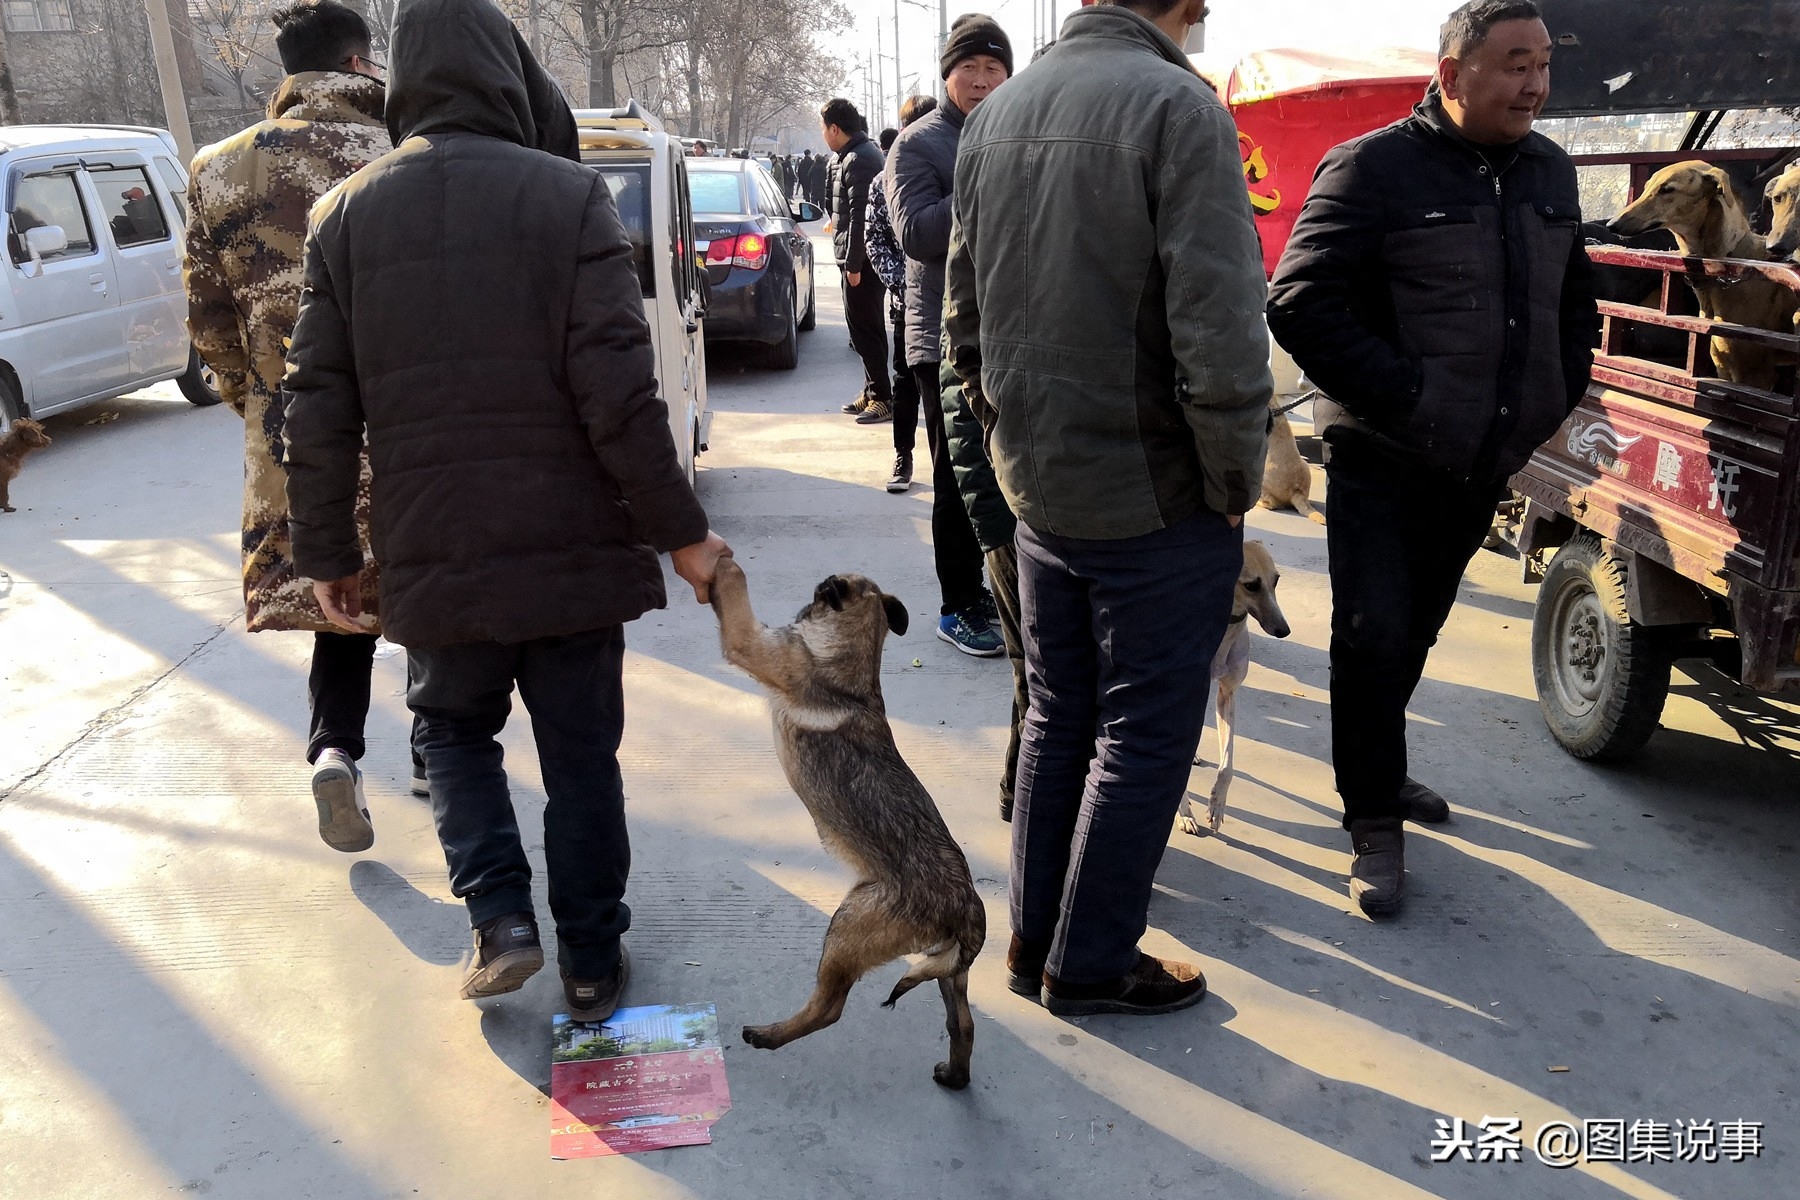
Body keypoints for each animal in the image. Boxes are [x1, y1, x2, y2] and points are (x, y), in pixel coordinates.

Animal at [705, 557, 986, 1093]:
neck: (852, 667)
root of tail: (965, 905)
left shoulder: (752, 642)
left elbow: (736, 595)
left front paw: (723, 565)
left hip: (846, 927)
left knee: (829, 1009)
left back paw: (768, 1035)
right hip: (948, 970)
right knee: (962, 1023)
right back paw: (954, 1075)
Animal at [1180, 543, 1296, 834]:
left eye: (1276, 580)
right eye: (1251, 585)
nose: (1284, 630)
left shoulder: (1227, 695)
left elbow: (1228, 764)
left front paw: (1217, 804)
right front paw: (1184, 813)